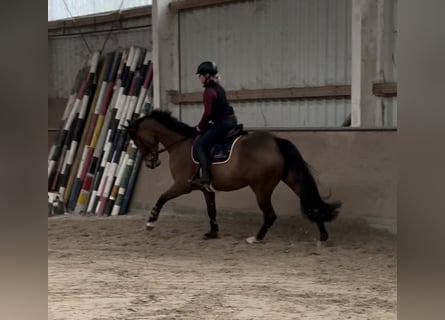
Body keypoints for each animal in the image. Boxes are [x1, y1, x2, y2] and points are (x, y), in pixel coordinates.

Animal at [126, 110, 342, 242]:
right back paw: (323, 236)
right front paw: (212, 232)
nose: (151, 163)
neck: (181, 143)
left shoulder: (182, 185)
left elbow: (161, 198)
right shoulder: (206, 189)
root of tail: (275, 141)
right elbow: (211, 210)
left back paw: (256, 238)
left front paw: (150, 222)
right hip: (291, 179)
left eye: (137, 139)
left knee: (270, 215)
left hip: (261, 188)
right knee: (311, 204)